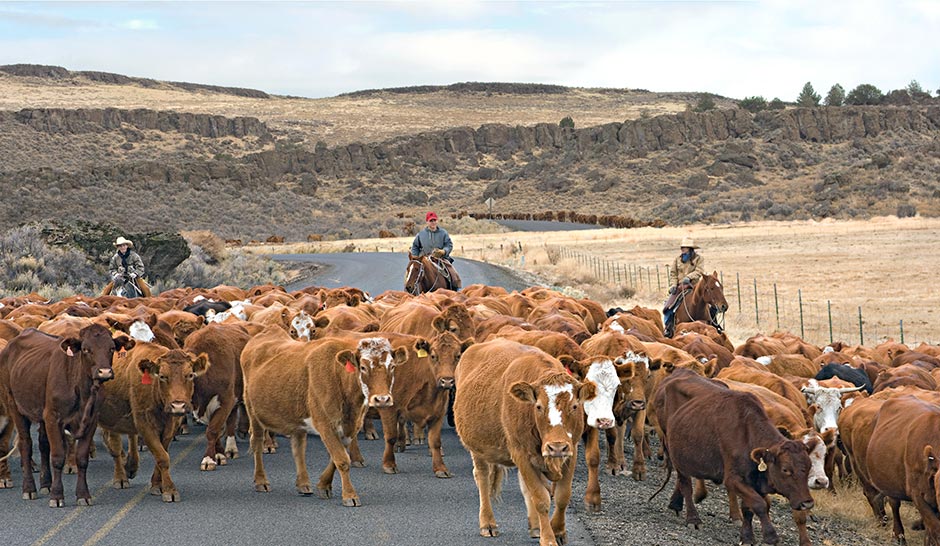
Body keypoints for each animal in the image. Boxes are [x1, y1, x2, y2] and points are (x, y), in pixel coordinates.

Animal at [0, 324, 134, 506]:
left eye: (111, 348)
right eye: (86, 349)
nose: (105, 372)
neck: (82, 391)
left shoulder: (91, 421)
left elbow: (82, 459)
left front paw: (83, 495)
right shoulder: (53, 418)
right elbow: (57, 457)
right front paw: (57, 496)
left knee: (43, 444)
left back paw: (46, 484)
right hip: (16, 407)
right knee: (25, 445)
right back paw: (29, 489)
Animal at [98, 342, 208, 500]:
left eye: (190, 375)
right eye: (162, 376)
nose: (178, 405)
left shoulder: (170, 428)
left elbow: (162, 454)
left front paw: (157, 485)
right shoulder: (145, 426)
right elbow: (162, 457)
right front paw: (170, 490)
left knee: (129, 438)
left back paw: (131, 466)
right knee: (115, 447)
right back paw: (120, 478)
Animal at [241, 326, 406, 504]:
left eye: (392, 366)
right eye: (363, 367)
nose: (382, 399)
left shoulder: (351, 426)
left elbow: (335, 458)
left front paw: (323, 485)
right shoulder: (325, 423)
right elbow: (342, 459)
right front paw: (350, 495)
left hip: (297, 417)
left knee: (298, 447)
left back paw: (303, 484)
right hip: (253, 412)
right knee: (257, 443)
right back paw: (261, 481)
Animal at [452, 338, 592, 540]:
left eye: (574, 406)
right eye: (539, 406)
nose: (556, 447)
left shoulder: (571, 450)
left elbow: (562, 496)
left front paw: (557, 531)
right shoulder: (521, 453)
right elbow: (541, 498)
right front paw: (548, 538)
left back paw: (535, 526)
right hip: (477, 448)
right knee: (482, 477)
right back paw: (487, 522)